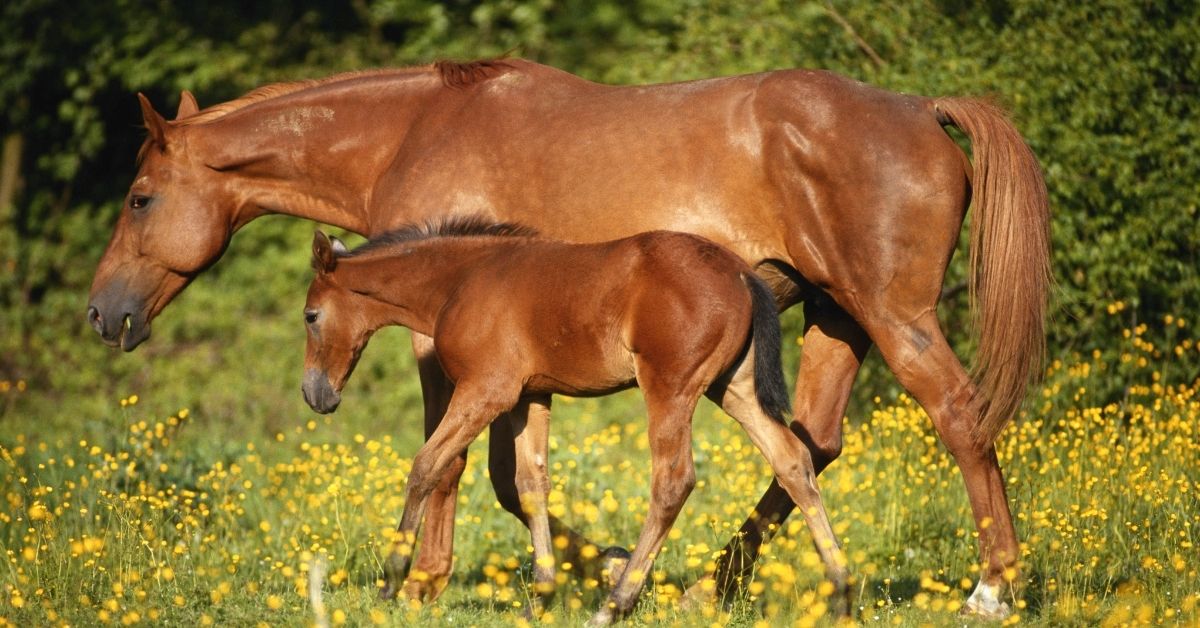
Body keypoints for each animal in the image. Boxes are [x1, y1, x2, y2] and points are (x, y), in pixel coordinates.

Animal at [295, 220, 849, 624]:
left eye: (310, 315)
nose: (315, 394)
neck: (461, 281)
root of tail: (741, 274)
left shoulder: (485, 390)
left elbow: (426, 465)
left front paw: (390, 582)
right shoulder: (530, 396)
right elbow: (531, 484)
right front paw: (540, 596)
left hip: (670, 388)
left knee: (673, 481)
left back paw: (614, 604)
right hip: (732, 387)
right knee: (793, 460)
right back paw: (841, 590)